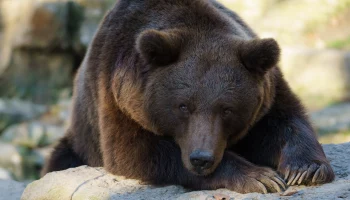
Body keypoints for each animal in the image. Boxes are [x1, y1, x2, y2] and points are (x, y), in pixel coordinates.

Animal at [42, 0, 334, 194]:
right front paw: (260, 176)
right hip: (79, 143)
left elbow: (286, 120)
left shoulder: (267, 89)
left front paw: (306, 169)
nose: (201, 159)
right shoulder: (116, 97)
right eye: (183, 106)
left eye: (227, 109)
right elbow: (136, 151)